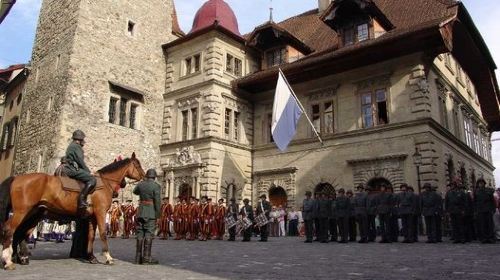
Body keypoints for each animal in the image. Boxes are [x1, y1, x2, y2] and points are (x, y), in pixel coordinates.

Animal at [0, 152, 145, 270]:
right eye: (137, 164)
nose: (144, 176)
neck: (104, 183)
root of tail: (17, 178)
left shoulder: (92, 217)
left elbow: (91, 236)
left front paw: (91, 257)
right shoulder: (100, 213)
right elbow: (103, 234)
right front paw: (108, 257)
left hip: (32, 214)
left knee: (20, 233)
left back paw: (18, 258)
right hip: (22, 212)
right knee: (10, 230)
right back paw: (8, 260)